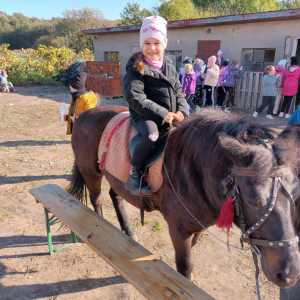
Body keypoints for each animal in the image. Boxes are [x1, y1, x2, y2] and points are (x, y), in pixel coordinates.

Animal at [69, 106, 300, 288]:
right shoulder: (178, 230)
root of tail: (84, 114)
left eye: (295, 197)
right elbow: (185, 265)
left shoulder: (195, 225)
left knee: (115, 196)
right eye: (254, 200)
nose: (289, 274)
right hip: (92, 173)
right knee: (97, 200)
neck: (192, 167)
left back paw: (129, 231)